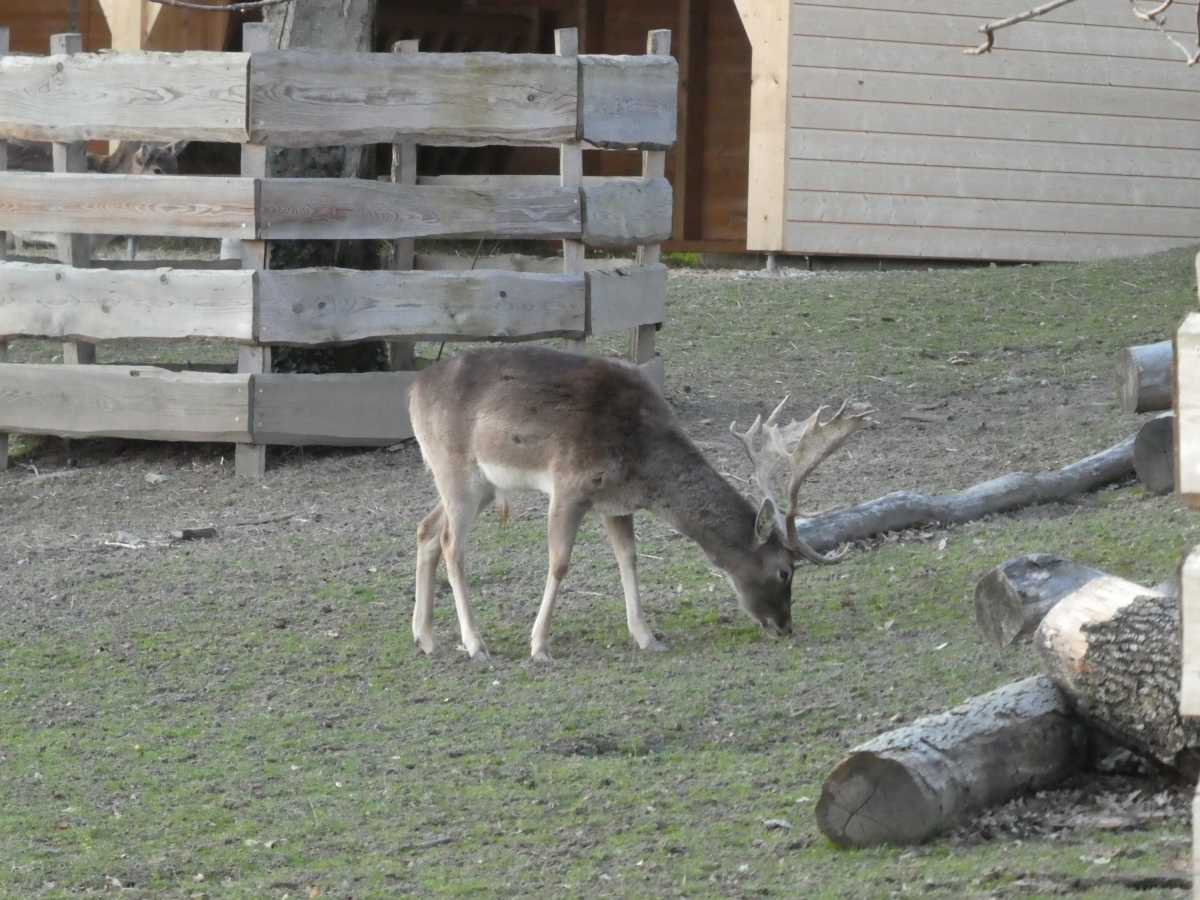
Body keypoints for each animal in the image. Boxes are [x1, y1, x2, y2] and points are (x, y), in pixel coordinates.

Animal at [408, 345, 868, 662]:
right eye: (784, 571)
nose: (784, 626)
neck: (642, 460)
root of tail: (413, 390)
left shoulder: (615, 504)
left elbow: (628, 559)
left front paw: (647, 637)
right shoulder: (569, 484)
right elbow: (559, 563)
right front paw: (539, 646)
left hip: (478, 485)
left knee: (426, 529)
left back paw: (426, 637)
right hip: (457, 473)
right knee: (451, 545)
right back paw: (475, 644)